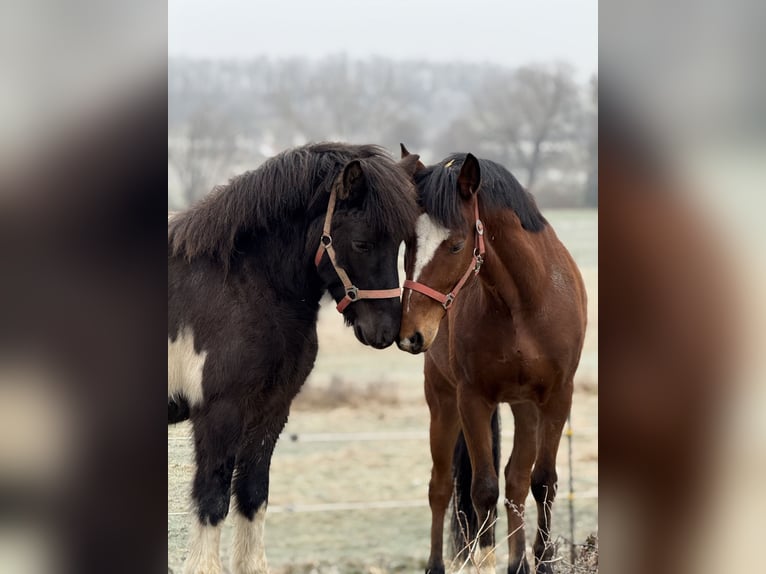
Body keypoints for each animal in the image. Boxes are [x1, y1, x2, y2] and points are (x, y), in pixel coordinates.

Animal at [168, 143, 421, 574]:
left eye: (402, 243)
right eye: (362, 243)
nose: (387, 331)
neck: (244, 285)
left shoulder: (270, 411)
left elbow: (253, 496)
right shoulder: (219, 415)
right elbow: (212, 500)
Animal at [396, 147, 587, 574]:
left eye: (455, 244)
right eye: (409, 243)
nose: (411, 334)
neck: (524, 303)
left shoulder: (557, 397)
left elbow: (542, 481)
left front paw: (542, 562)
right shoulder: (473, 399)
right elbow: (482, 489)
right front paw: (485, 560)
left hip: (525, 407)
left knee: (516, 480)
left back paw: (519, 564)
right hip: (443, 403)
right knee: (441, 487)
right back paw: (438, 565)